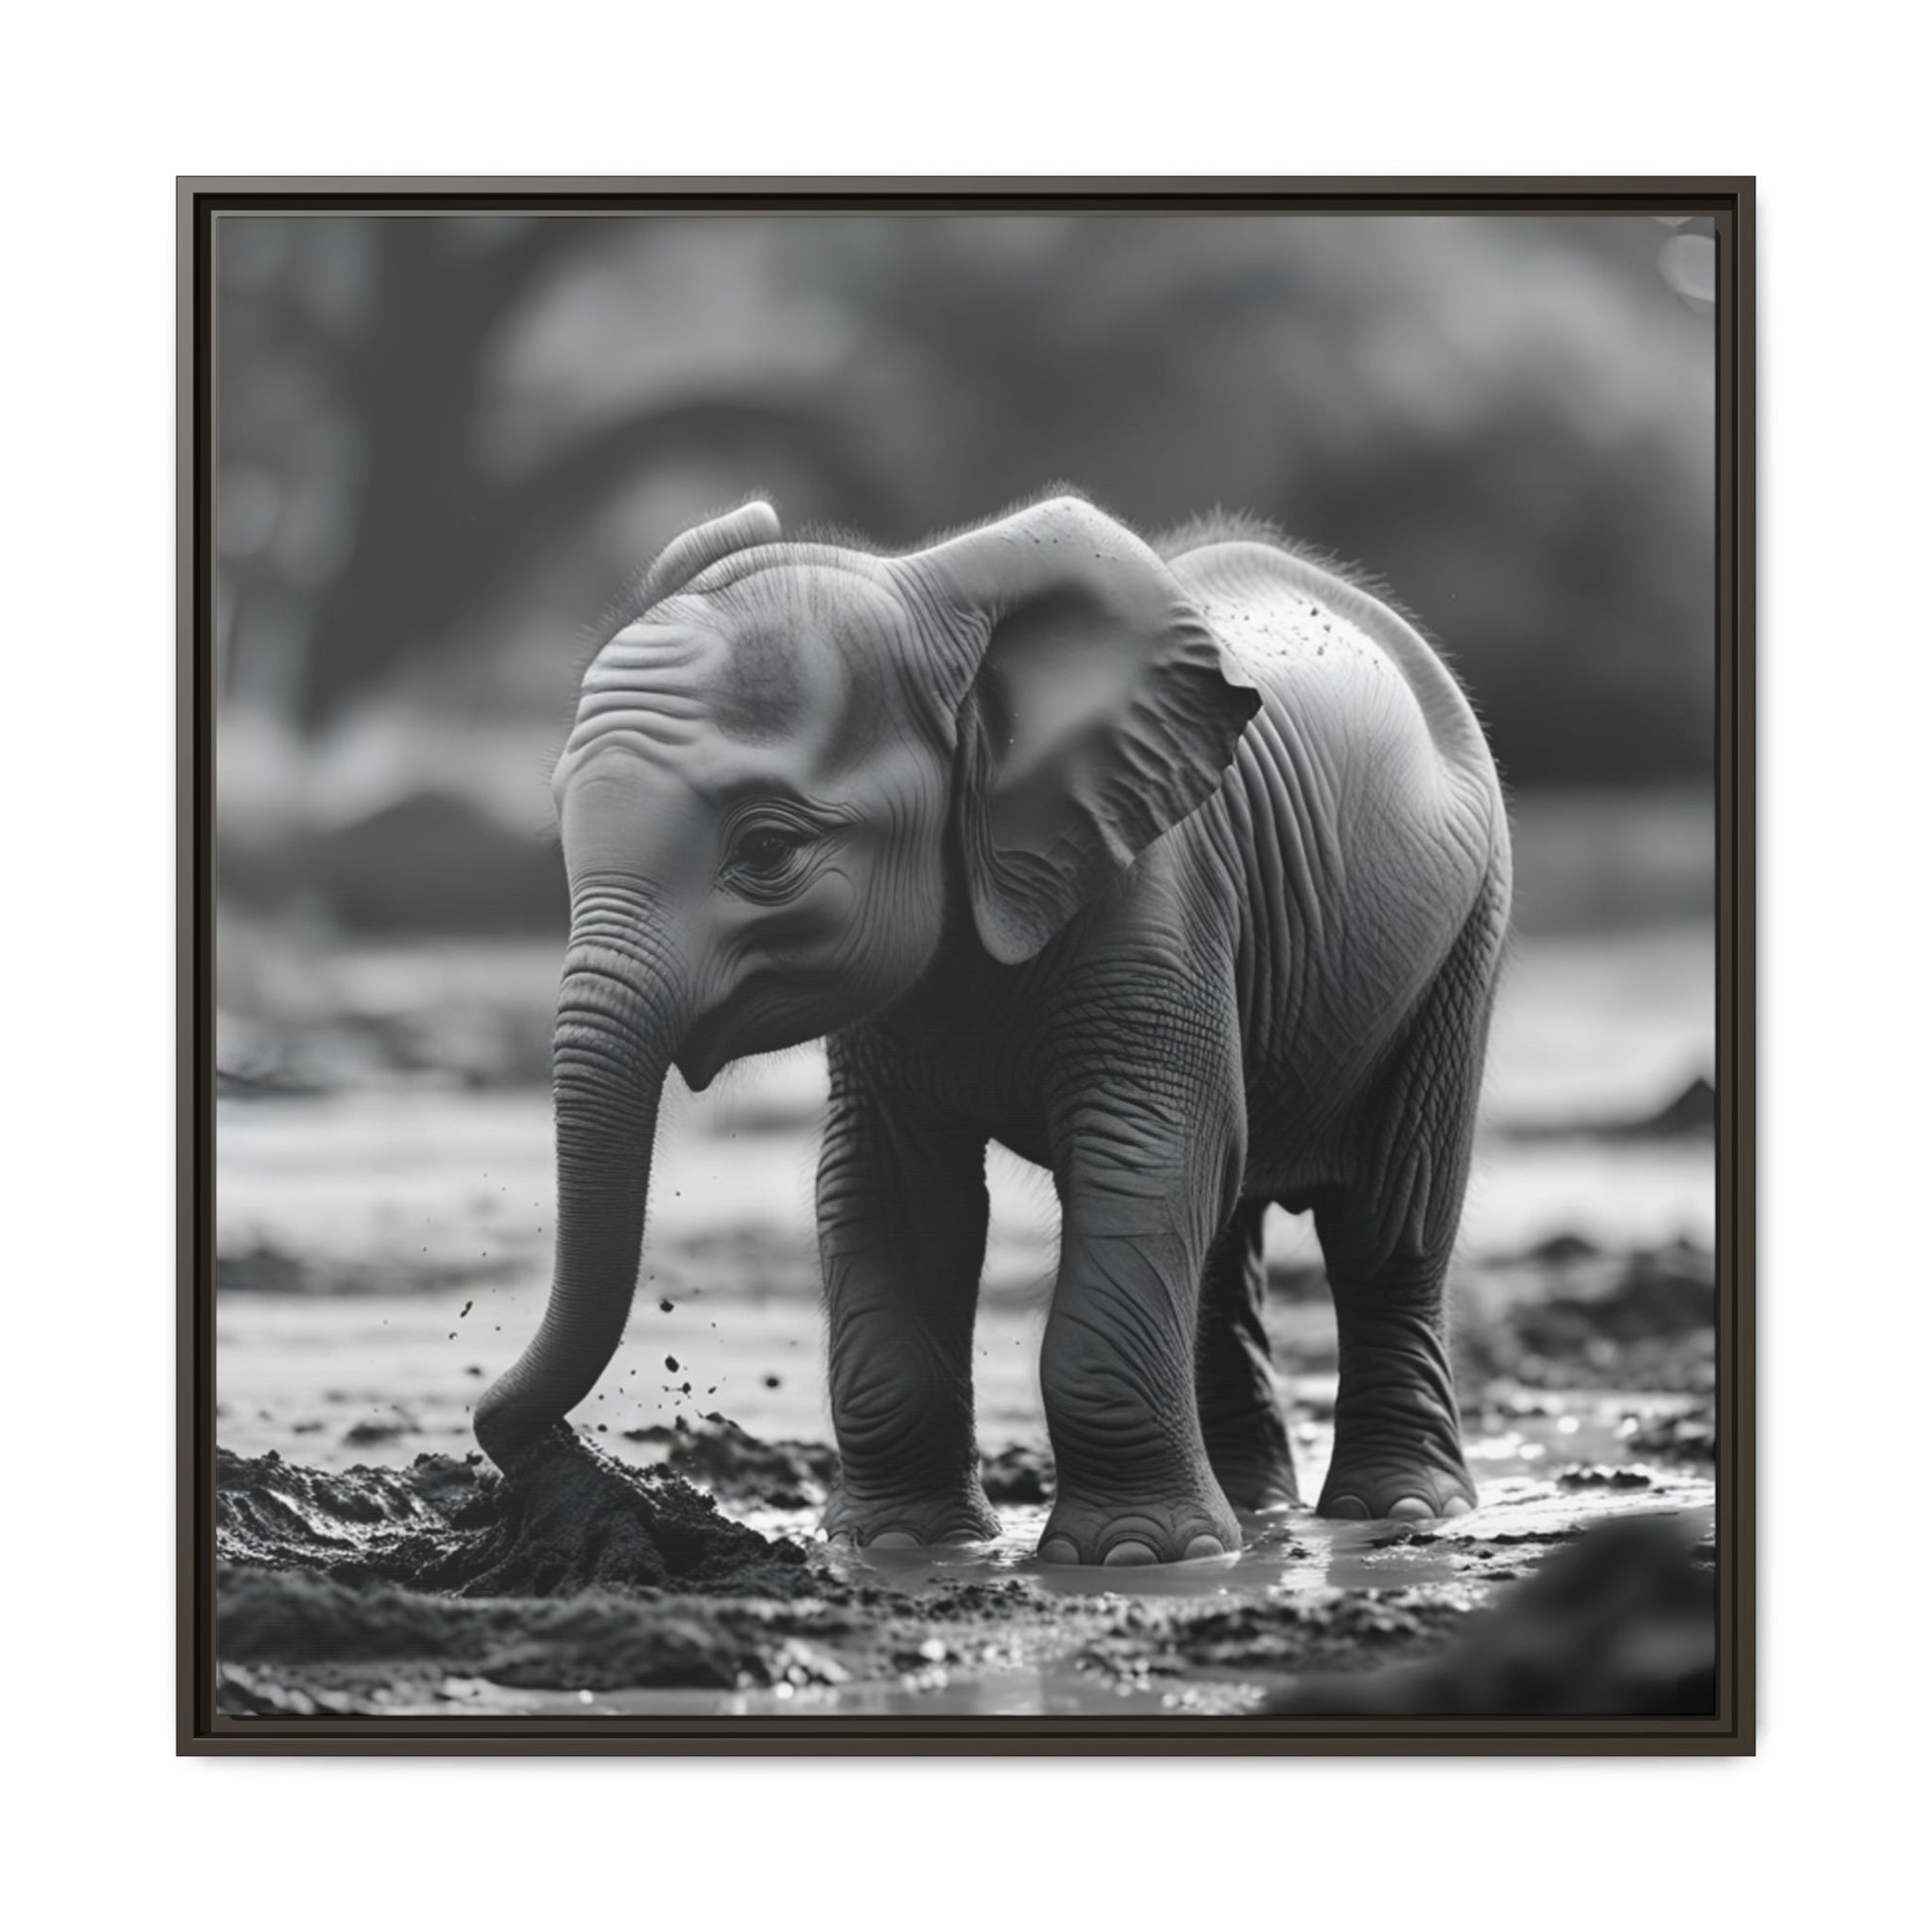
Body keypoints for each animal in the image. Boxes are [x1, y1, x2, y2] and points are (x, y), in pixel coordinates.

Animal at [474, 491, 1512, 1566]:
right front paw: (898, 1546)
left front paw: (1132, 1556)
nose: (558, 1459)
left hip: (1463, 932)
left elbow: (1144, 1153)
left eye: (766, 849)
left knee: (1387, 1220)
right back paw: (1255, 1514)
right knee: (1227, 1233)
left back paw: (1398, 1509)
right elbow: (888, 1189)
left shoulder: (1159, 893)